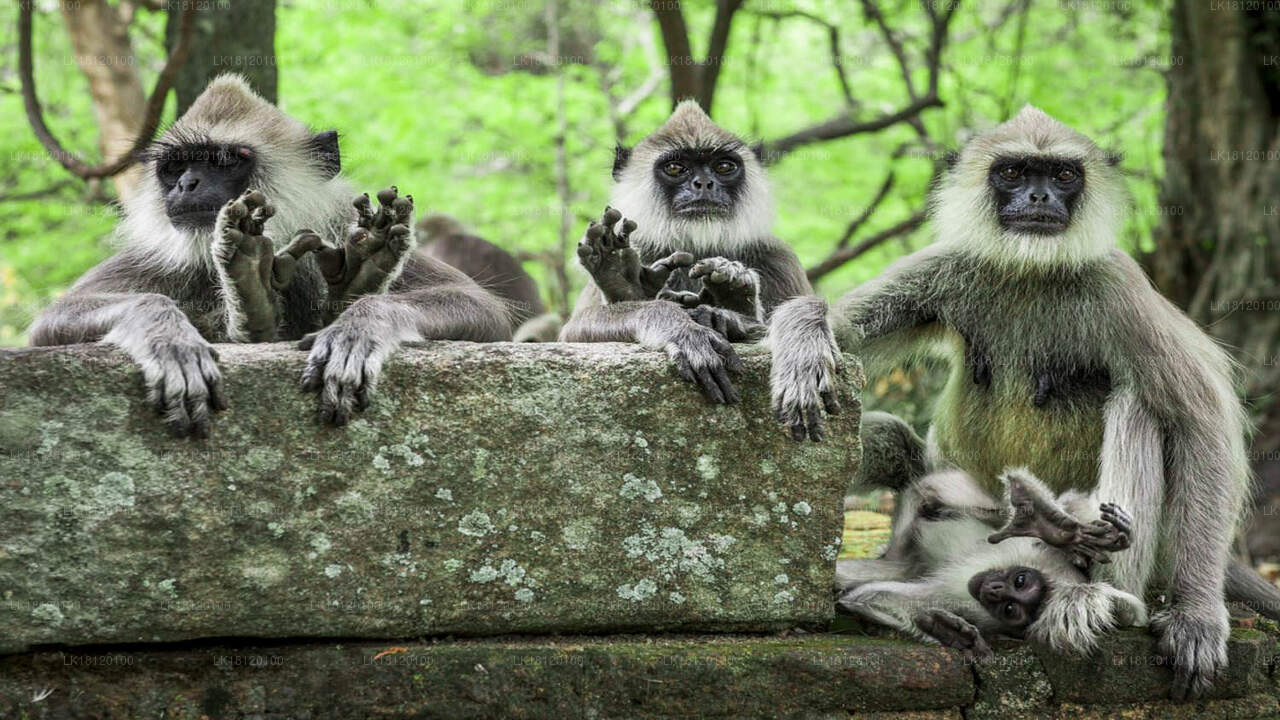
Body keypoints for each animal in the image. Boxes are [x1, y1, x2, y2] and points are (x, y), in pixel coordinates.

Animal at [30, 74, 509, 438]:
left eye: (224, 161)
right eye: (175, 167)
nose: (186, 184)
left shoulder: (334, 220)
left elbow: (482, 309)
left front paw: (358, 326)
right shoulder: (155, 257)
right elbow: (52, 321)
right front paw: (169, 337)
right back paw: (256, 292)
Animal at [560, 99, 808, 404]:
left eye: (723, 166)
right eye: (677, 168)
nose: (703, 184)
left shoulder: (778, 257)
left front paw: (730, 312)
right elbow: (573, 330)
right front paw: (679, 327)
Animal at [839, 466, 1152, 655]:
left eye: (1010, 608)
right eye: (1020, 580)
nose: (994, 589)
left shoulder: (968, 604)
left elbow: (869, 597)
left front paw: (945, 631)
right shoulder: (1044, 556)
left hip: (907, 558)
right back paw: (1047, 525)